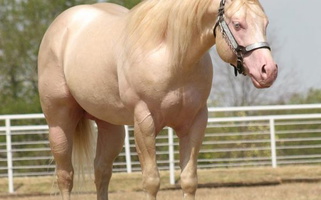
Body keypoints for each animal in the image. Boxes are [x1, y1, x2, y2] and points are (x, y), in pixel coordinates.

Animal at [37, 0, 278, 200]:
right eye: (238, 25)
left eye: (266, 23)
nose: (268, 70)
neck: (172, 56)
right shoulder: (144, 123)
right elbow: (151, 181)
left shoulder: (196, 122)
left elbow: (189, 181)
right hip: (59, 123)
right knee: (65, 176)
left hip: (111, 128)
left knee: (102, 172)